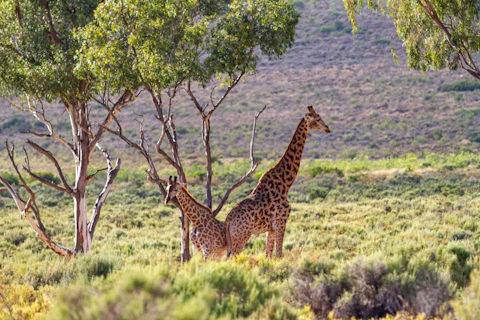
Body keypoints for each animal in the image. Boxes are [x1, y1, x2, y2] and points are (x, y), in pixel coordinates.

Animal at [225, 106, 330, 258]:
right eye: (317, 119)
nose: (327, 128)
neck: (286, 183)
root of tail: (227, 220)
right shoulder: (281, 222)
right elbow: (279, 255)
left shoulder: (271, 228)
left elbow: (268, 255)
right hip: (241, 236)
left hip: (233, 240)